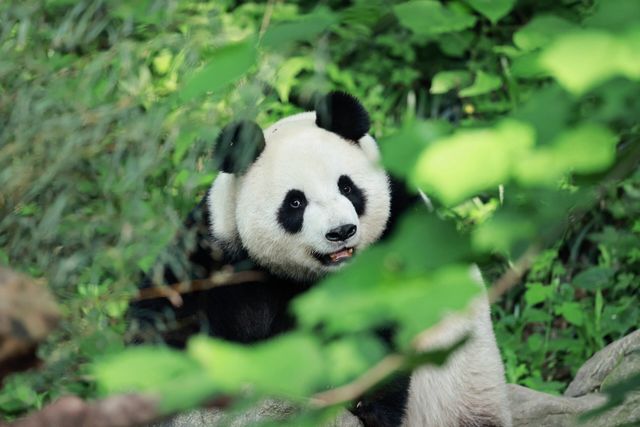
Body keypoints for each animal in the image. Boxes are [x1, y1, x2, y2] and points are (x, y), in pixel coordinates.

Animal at [129, 92, 510, 426]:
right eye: (295, 202)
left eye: (347, 187)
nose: (341, 231)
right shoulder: (219, 244)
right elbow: (175, 303)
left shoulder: (401, 232)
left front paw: (362, 401)